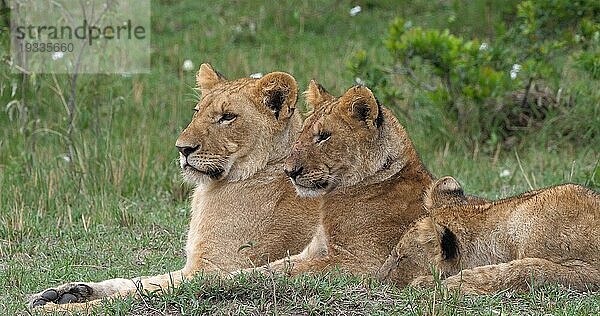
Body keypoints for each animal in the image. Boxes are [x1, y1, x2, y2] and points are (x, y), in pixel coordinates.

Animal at [28, 63, 322, 310]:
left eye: (228, 117)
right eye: (197, 112)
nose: (183, 148)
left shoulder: (213, 269)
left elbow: (136, 292)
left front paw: (61, 308)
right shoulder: (195, 267)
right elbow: (138, 280)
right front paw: (64, 293)